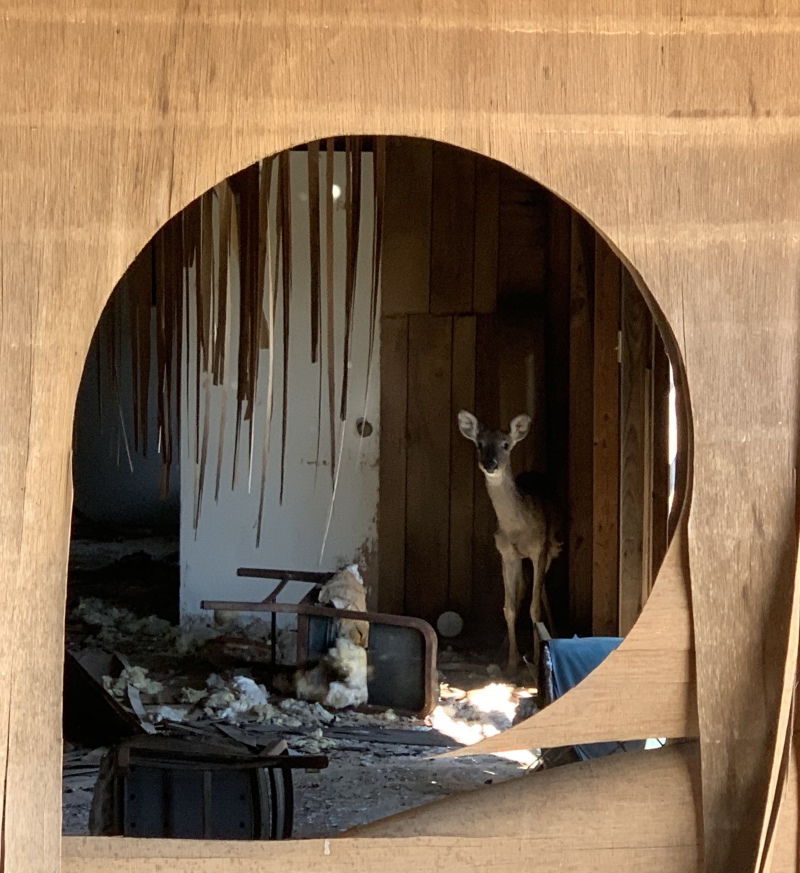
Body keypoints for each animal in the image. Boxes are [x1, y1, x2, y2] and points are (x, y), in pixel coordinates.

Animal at [457, 410, 563, 671]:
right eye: (480, 444)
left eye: (506, 445)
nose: (490, 464)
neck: (517, 528)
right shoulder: (506, 553)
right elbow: (510, 607)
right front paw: (512, 660)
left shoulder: (539, 549)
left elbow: (535, 608)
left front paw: (535, 657)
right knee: (525, 587)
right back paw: (505, 646)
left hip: (553, 547)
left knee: (542, 590)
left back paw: (553, 634)